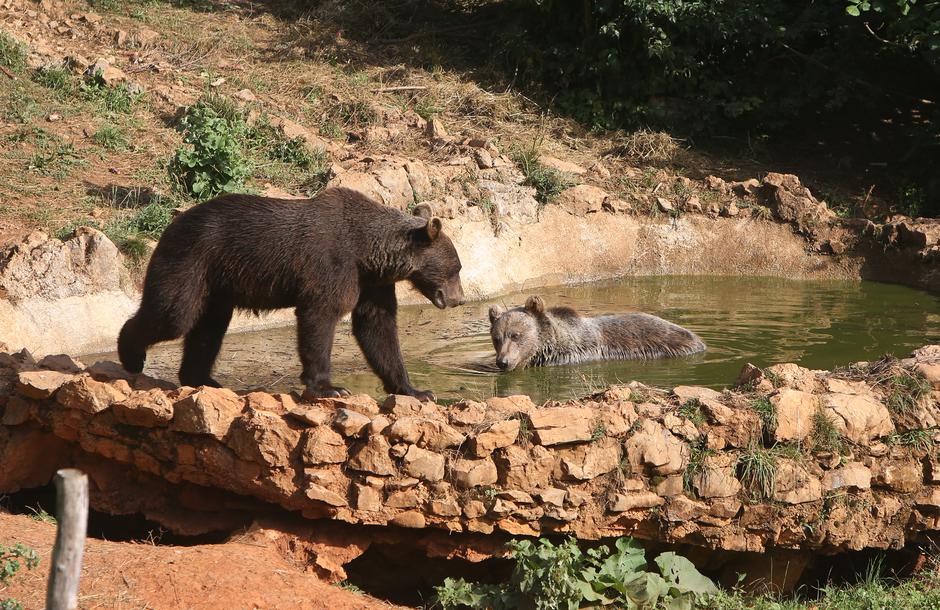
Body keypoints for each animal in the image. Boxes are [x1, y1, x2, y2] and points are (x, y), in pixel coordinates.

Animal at [117, 188, 466, 402]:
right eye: (457, 268)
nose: (458, 299)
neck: (367, 252)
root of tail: (170, 224)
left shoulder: (372, 283)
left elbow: (377, 328)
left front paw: (416, 390)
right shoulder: (332, 265)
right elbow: (321, 315)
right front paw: (330, 388)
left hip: (217, 286)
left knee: (208, 328)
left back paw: (204, 379)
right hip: (193, 261)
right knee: (174, 313)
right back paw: (131, 354)